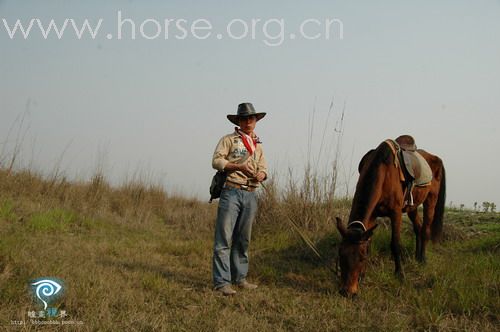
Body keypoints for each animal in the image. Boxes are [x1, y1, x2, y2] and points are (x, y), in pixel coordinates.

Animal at [336, 139, 446, 296]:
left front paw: (400, 274)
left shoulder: (396, 213)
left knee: (425, 229)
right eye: (341, 255)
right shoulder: (372, 215)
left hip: (431, 199)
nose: (347, 292)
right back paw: (417, 256)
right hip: (412, 206)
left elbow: (395, 243)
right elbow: (368, 242)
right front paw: (363, 276)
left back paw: (423, 259)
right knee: (418, 227)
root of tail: (436, 158)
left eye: (361, 258)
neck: (383, 172)